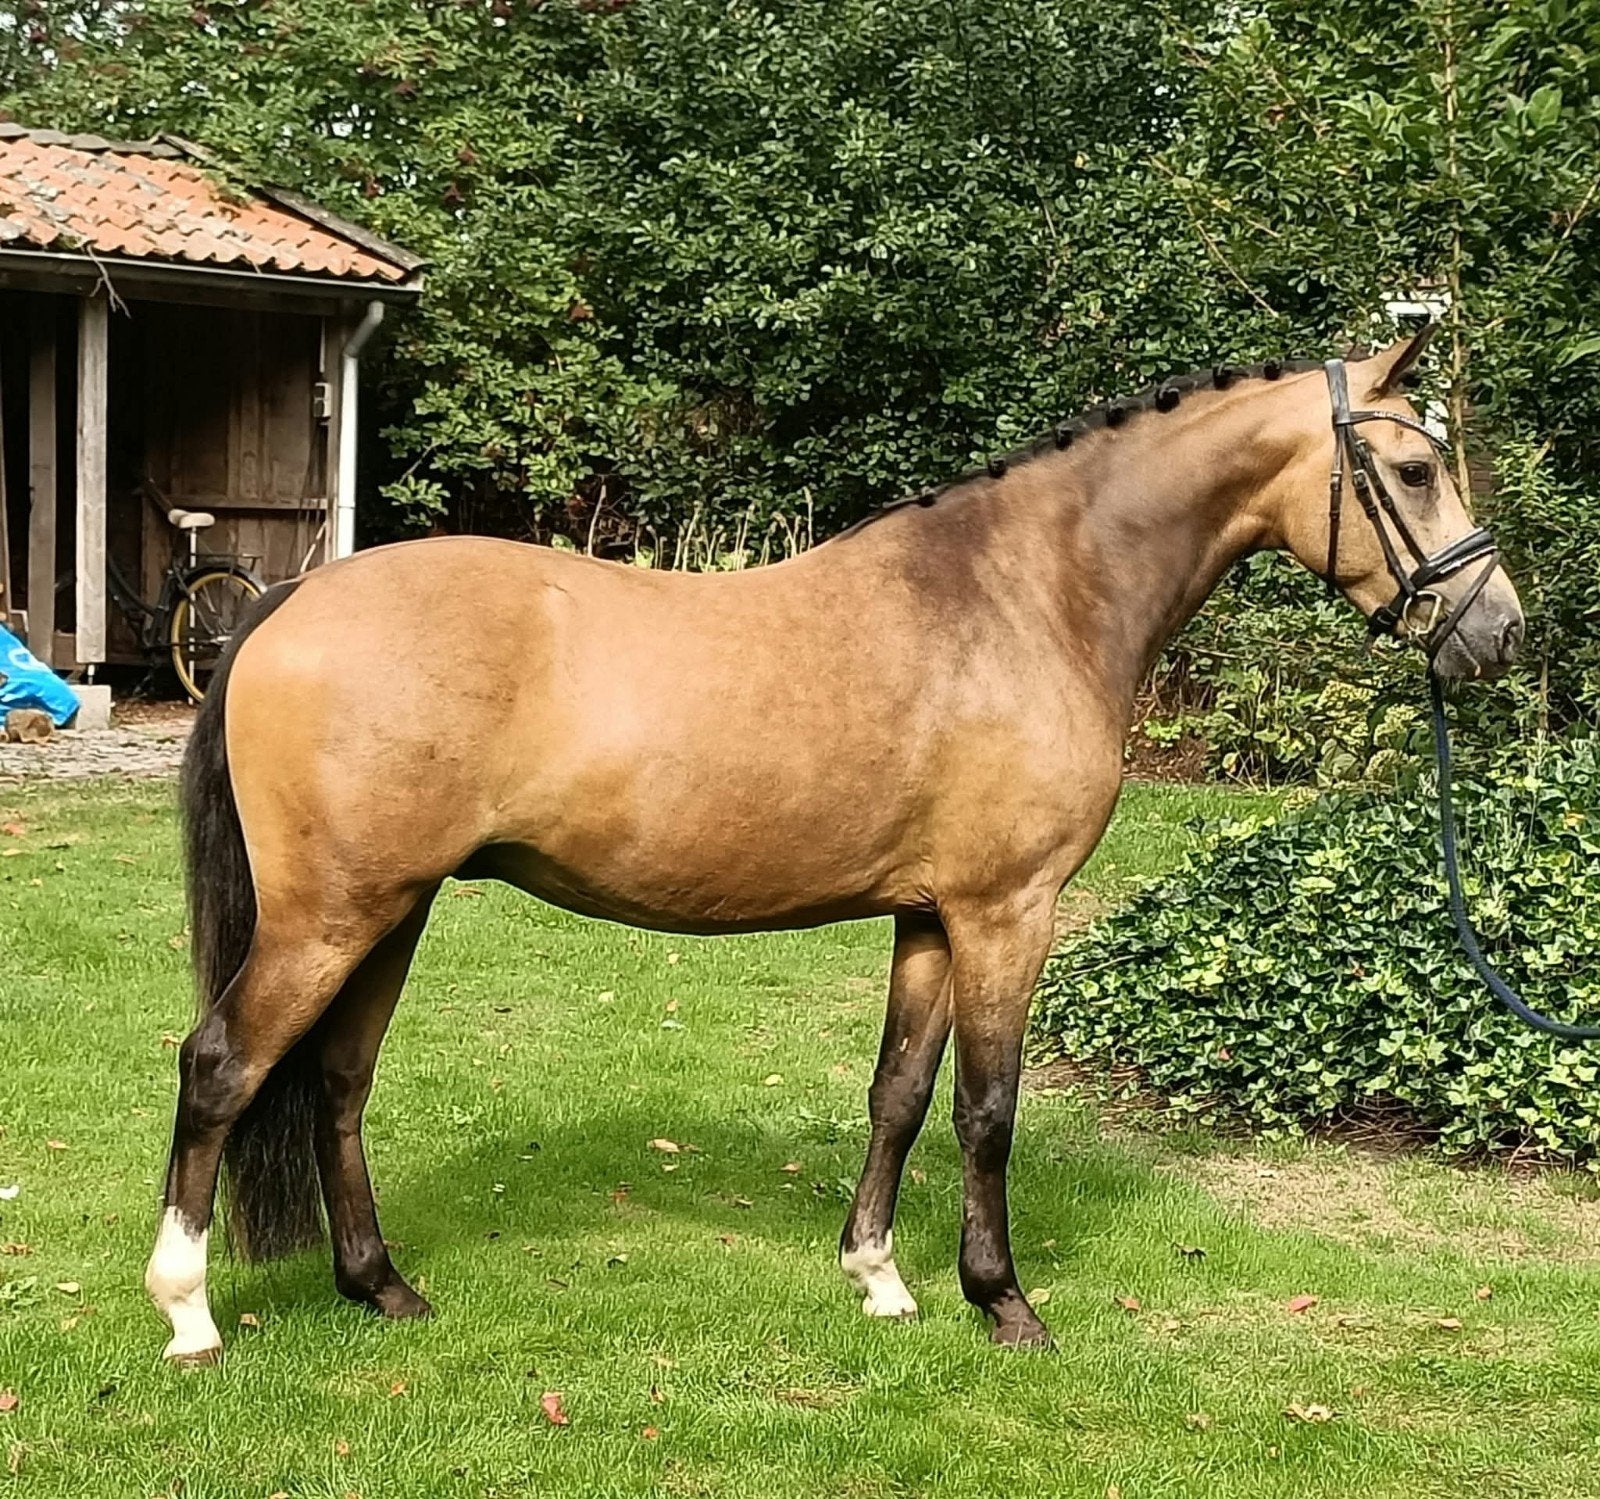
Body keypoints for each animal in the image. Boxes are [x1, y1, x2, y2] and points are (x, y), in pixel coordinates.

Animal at [146, 327, 1523, 1363]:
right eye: (1410, 470)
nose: (1497, 629)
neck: (1027, 597)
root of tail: (288, 603)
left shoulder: (929, 914)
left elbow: (899, 1093)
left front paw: (880, 1277)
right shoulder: (1007, 910)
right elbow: (986, 1107)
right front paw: (1002, 1300)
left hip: (395, 905)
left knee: (335, 1081)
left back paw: (380, 1285)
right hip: (332, 914)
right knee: (220, 1064)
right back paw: (189, 1312)